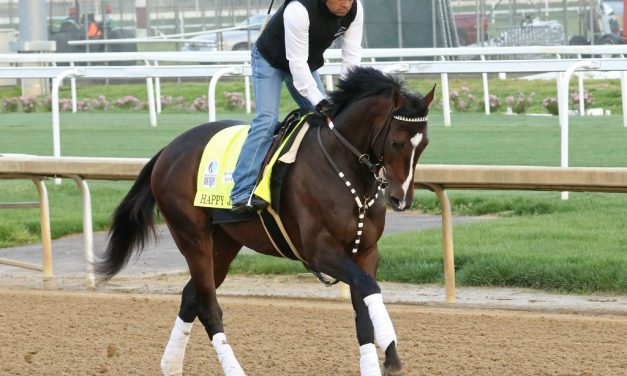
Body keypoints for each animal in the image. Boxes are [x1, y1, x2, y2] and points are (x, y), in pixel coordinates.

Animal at [98, 67, 434, 376]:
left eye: (424, 144)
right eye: (396, 142)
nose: (400, 199)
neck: (344, 167)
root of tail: (168, 149)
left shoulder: (364, 251)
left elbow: (364, 306)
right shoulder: (320, 252)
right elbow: (368, 287)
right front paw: (391, 351)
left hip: (223, 244)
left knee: (191, 296)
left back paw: (170, 365)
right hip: (191, 235)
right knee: (207, 305)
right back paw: (233, 370)